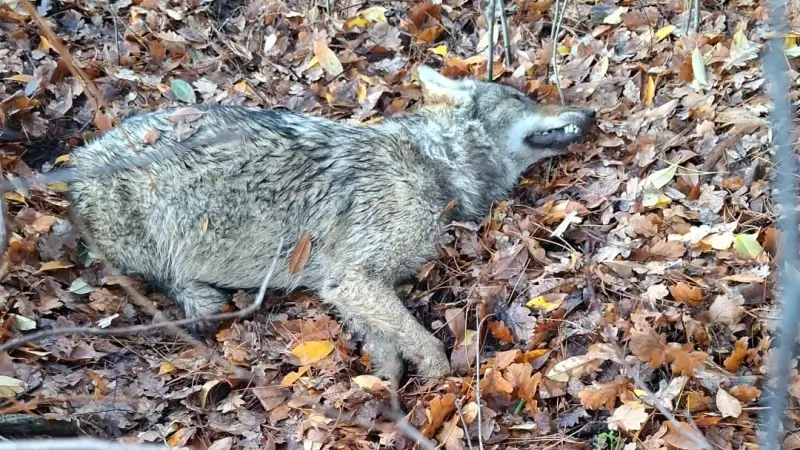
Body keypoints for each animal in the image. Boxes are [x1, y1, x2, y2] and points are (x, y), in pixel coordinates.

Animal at [64, 65, 595, 385]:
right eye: (522, 98)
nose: (590, 111)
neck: (434, 162)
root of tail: (74, 166)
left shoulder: (344, 285)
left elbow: (387, 345)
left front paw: (386, 389)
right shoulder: (356, 279)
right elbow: (424, 342)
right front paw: (437, 382)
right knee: (163, 279)